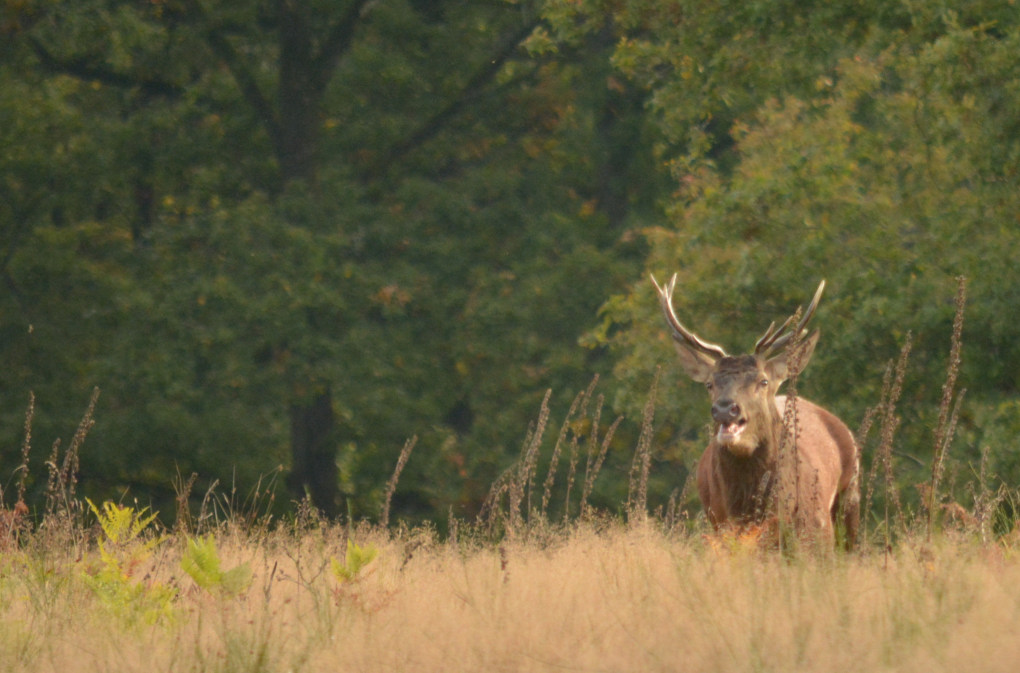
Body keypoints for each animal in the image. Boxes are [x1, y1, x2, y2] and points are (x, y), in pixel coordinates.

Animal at [652, 274, 859, 548]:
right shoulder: (720, 525)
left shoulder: (815, 530)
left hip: (851, 496)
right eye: (710, 384)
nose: (725, 408)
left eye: (763, 381)